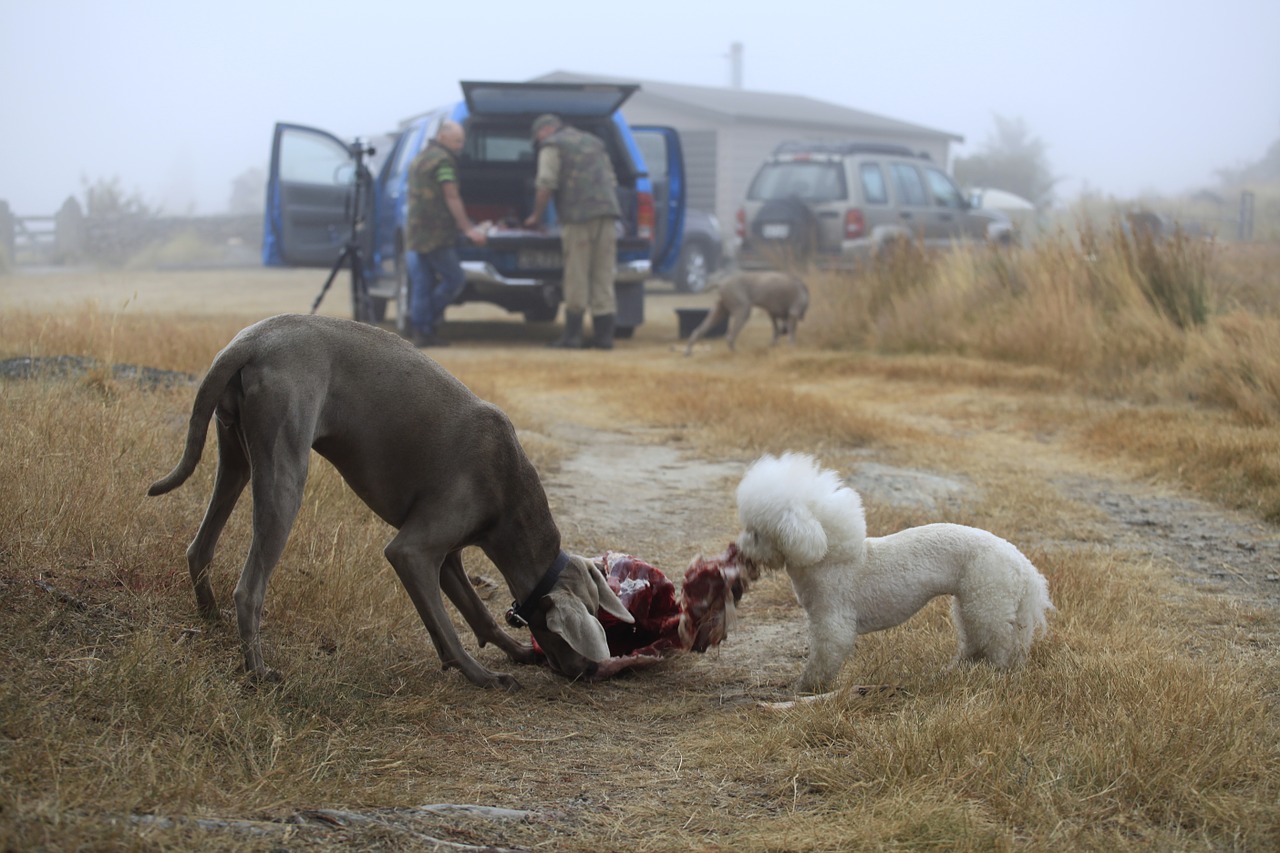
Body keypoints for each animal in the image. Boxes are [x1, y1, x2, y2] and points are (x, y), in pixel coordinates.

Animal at [149, 311, 629, 686]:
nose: (589, 671)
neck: (510, 489)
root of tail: (250, 340)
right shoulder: (412, 551)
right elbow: (446, 624)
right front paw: (481, 675)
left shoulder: (448, 557)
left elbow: (477, 612)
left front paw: (514, 652)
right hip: (284, 467)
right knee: (249, 588)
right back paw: (258, 670)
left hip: (235, 451)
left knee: (200, 546)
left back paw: (210, 618)